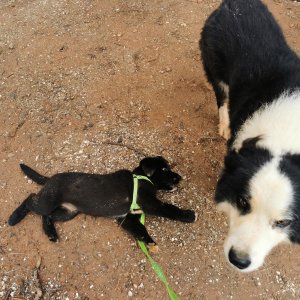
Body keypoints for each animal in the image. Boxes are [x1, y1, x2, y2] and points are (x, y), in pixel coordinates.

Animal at [8, 157, 196, 253]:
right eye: (164, 170)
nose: (179, 178)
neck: (142, 178)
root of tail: (49, 179)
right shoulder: (150, 204)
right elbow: (169, 209)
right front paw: (188, 215)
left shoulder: (127, 219)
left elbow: (140, 229)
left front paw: (148, 242)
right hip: (48, 201)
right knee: (31, 199)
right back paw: (14, 217)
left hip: (68, 212)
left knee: (46, 216)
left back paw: (51, 234)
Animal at [199, 0, 300, 272]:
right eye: (243, 203)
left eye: (283, 222)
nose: (239, 260)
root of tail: (234, 3)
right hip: (216, 70)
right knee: (221, 98)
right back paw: (224, 125)